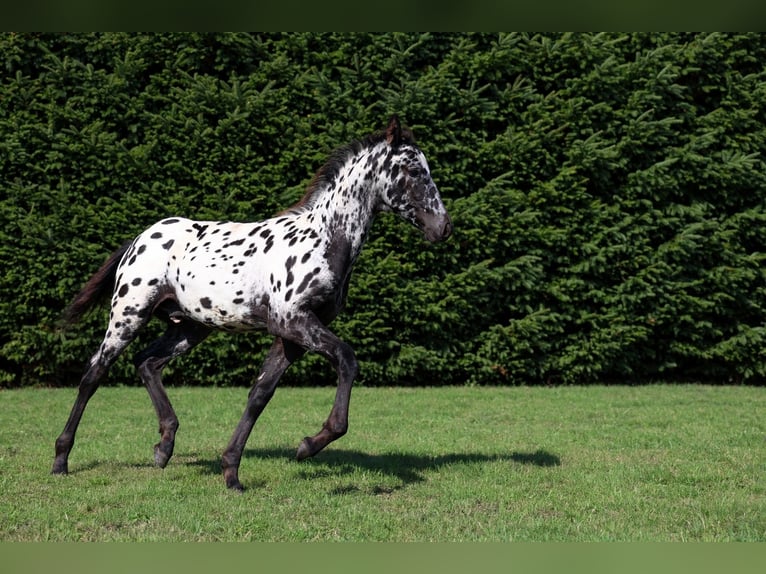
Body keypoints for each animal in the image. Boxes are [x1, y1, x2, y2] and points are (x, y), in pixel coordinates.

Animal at [51, 116, 452, 491]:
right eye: (414, 170)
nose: (443, 228)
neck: (323, 238)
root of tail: (140, 237)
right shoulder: (294, 321)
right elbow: (347, 359)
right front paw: (310, 444)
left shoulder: (293, 334)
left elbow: (260, 393)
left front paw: (232, 471)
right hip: (128, 314)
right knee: (94, 373)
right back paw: (61, 459)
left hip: (190, 327)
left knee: (147, 362)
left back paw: (164, 447)